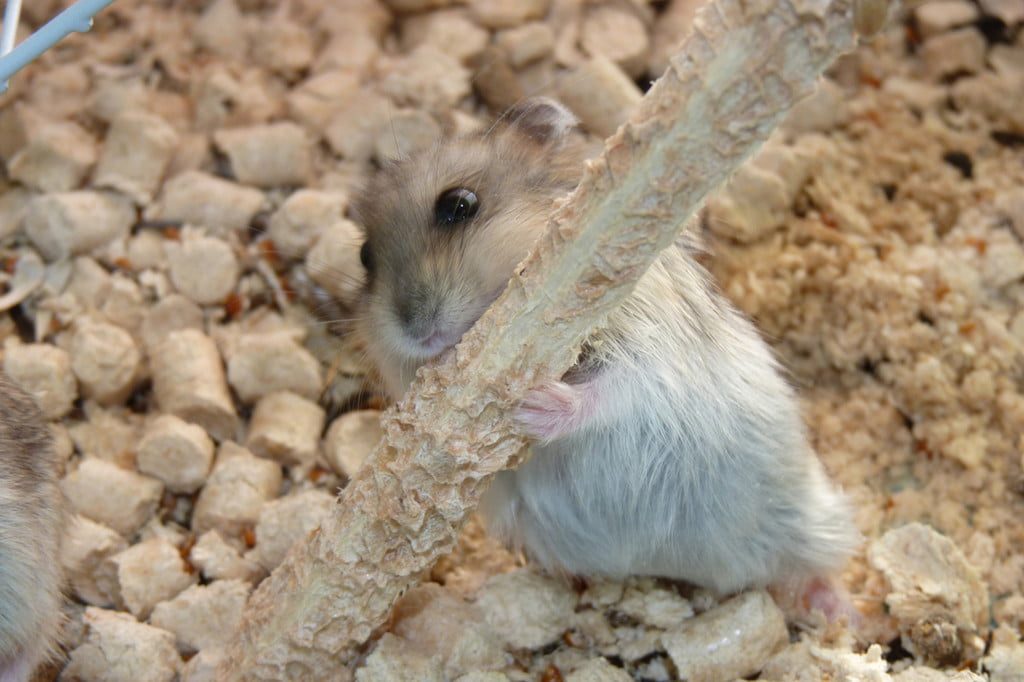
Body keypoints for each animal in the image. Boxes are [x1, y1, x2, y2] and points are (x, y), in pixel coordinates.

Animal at [352, 98, 859, 614]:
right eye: (366, 257)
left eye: (458, 204)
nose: (415, 331)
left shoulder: (649, 352)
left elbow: (611, 391)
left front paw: (531, 407)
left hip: (806, 516)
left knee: (809, 565)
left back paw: (843, 613)